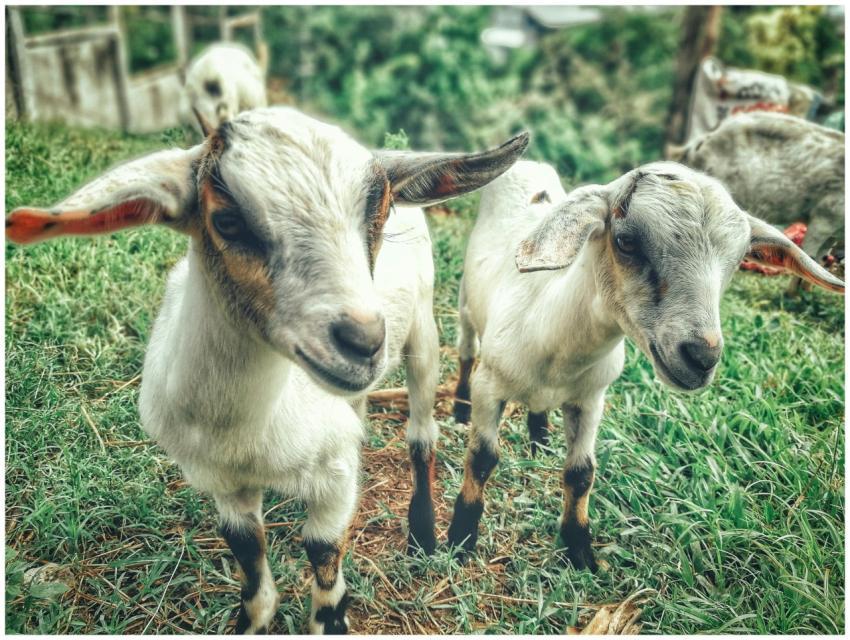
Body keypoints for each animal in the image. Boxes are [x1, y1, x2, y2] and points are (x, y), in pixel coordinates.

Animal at [5, 107, 528, 633]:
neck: (245, 431)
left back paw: (423, 533)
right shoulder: (220, 481)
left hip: (423, 332)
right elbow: (250, 567)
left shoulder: (333, 480)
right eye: (227, 221)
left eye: (377, 215)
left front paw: (332, 616)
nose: (363, 342)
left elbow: (322, 552)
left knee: (422, 435)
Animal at [446, 160, 844, 571]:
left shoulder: (591, 399)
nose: (702, 357)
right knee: (466, 351)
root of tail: (529, 163)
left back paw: (538, 438)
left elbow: (581, 473)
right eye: (626, 242)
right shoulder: (490, 386)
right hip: (466, 306)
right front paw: (460, 538)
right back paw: (459, 408)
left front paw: (580, 551)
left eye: (735, 264)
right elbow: (482, 458)